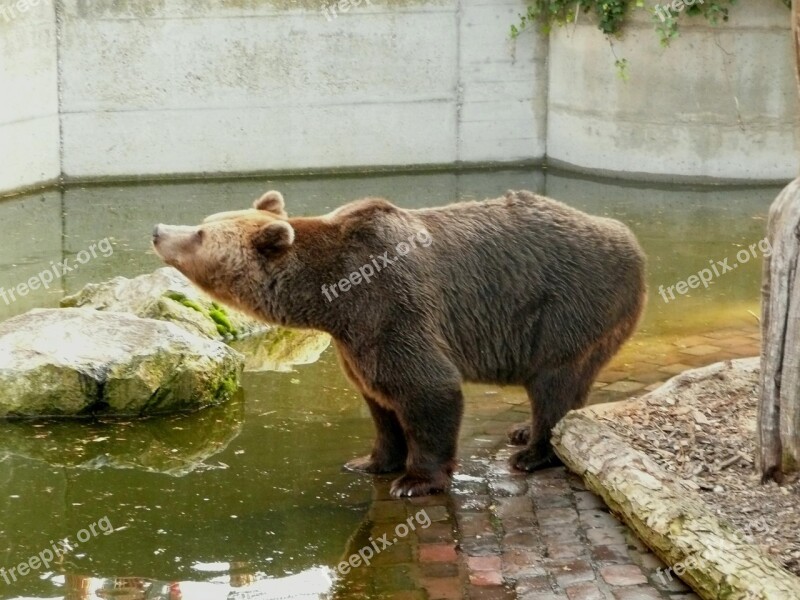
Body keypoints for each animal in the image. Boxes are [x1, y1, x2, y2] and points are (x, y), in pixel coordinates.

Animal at [153, 189, 648, 496]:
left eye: (200, 233)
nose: (159, 230)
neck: (330, 298)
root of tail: (630, 238)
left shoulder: (391, 305)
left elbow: (427, 387)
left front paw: (415, 480)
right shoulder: (355, 338)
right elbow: (379, 399)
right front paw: (371, 460)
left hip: (569, 305)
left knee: (555, 382)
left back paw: (532, 451)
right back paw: (523, 430)